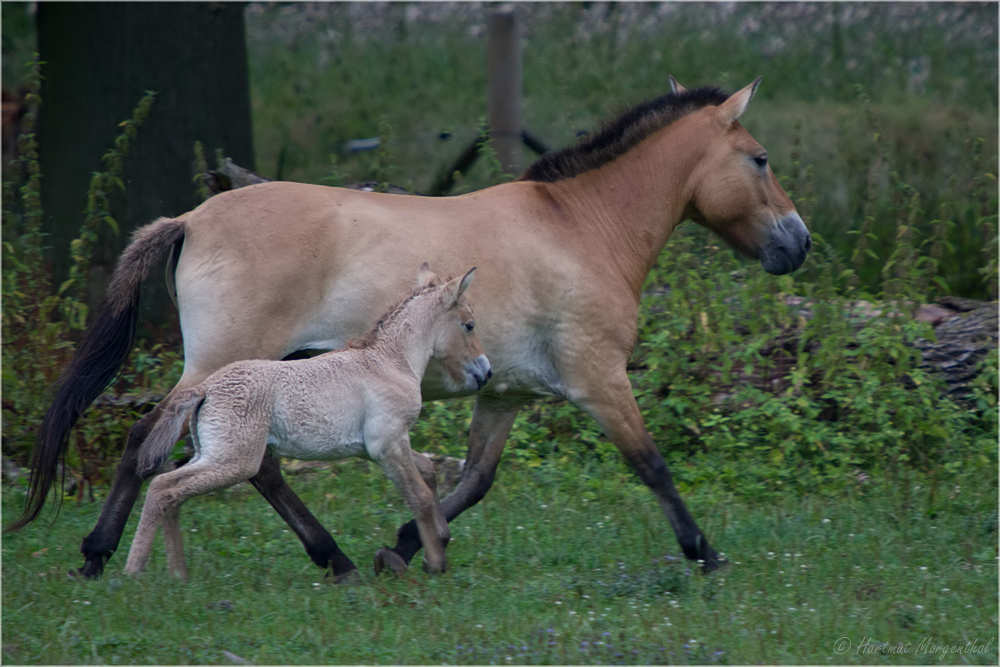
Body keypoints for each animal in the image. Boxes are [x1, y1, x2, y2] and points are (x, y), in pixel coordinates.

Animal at [123, 264, 490, 580]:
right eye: (469, 325)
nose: (485, 372)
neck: (389, 363)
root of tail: (205, 388)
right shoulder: (387, 445)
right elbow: (420, 497)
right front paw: (435, 561)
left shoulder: (375, 447)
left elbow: (427, 472)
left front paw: (438, 539)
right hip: (234, 461)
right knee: (162, 487)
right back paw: (134, 572)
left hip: (211, 455)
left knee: (173, 491)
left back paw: (178, 574)